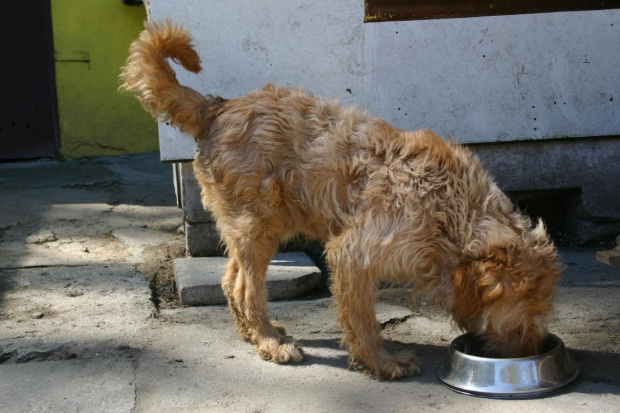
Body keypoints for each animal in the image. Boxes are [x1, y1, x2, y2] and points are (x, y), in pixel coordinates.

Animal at [120, 20, 560, 378]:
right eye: (528, 304)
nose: (535, 348)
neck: (451, 209)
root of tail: (216, 107)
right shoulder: (354, 253)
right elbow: (363, 319)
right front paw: (382, 363)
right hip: (259, 225)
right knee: (246, 289)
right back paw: (272, 343)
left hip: (256, 225)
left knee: (231, 281)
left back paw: (256, 333)